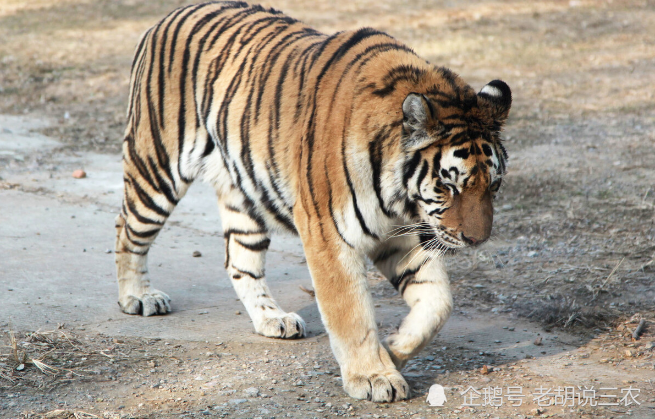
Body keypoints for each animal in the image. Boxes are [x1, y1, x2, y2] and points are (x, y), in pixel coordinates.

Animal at [114, 0, 512, 404]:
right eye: (449, 187)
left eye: (493, 186)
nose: (476, 240)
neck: (399, 197)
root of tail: (172, 14)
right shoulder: (329, 234)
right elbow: (351, 313)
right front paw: (373, 376)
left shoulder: (402, 235)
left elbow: (438, 303)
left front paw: (393, 349)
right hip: (156, 167)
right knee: (127, 230)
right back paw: (139, 298)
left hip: (245, 197)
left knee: (239, 260)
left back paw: (272, 319)